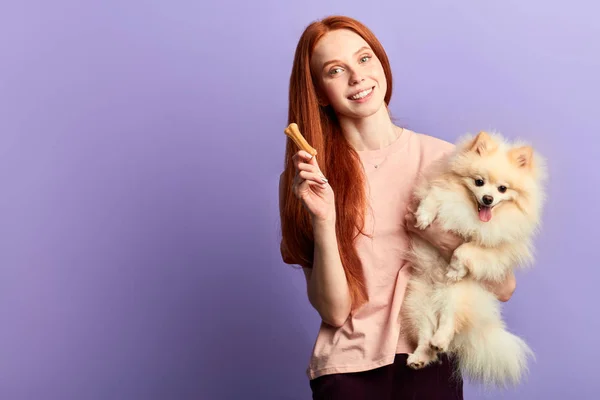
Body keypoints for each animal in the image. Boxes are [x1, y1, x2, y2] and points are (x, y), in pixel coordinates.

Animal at [400, 130, 548, 388]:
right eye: (479, 182)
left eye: (502, 189)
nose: (488, 198)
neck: (471, 213)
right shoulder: (439, 190)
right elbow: (432, 197)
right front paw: (424, 217)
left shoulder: (498, 248)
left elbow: (466, 248)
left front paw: (455, 269)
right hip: (417, 301)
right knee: (425, 334)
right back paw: (420, 356)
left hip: (458, 296)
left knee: (449, 323)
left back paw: (440, 340)